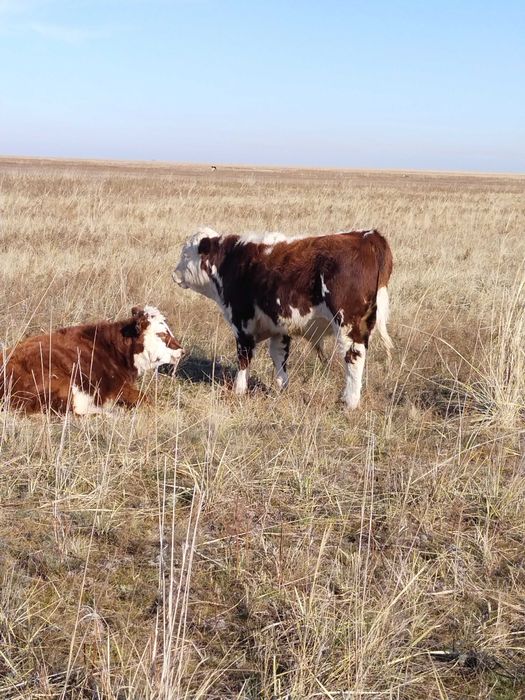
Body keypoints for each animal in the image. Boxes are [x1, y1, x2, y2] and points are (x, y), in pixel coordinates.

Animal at [172, 227, 393, 409]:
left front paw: (239, 390)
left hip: (349, 324)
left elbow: (244, 357)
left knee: (353, 358)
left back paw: (350, 401)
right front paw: (281, 387)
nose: (174, 274)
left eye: (185, 254)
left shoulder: (242, 322)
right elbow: (279, 356)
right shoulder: (279, 327)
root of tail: (368, 236)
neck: (231, 260)